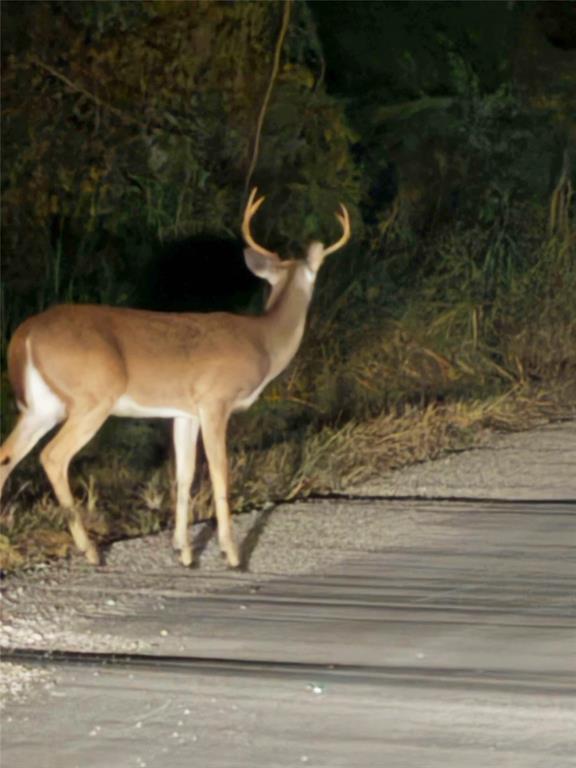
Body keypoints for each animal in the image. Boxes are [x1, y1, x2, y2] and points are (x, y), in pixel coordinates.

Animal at [0, 189, 352, 568]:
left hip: (41, 406)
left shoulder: (184, 412)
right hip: (91, 398)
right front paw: (231, 553)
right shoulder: (215, 400)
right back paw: (91, 550)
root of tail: (24, 334)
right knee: (52, 456)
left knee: (6, 454)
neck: (264, 340)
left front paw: (183, 550)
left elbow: (184, 475)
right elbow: (219, 472)